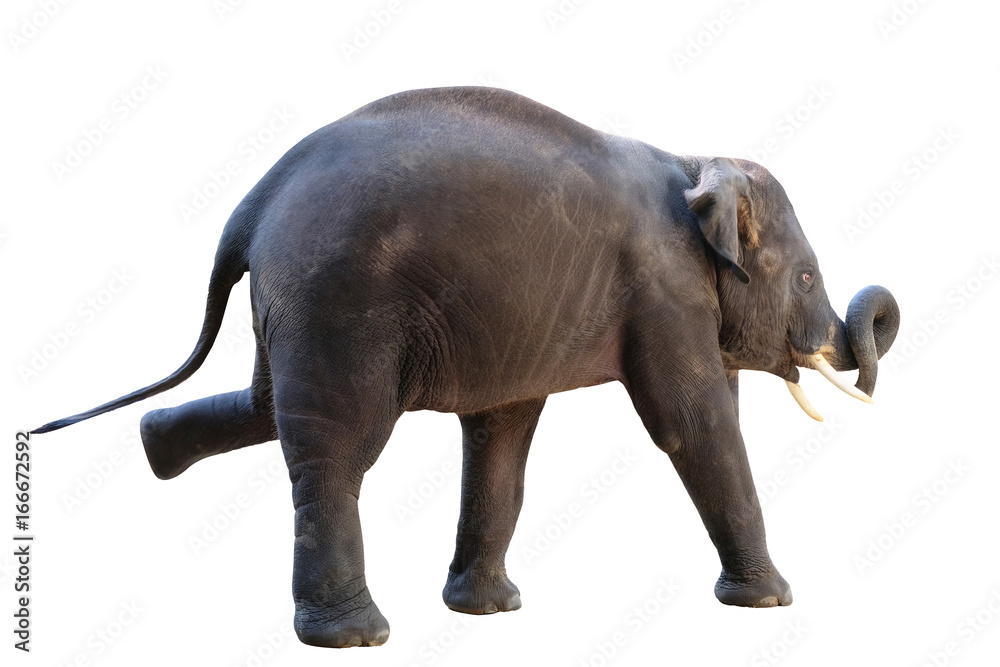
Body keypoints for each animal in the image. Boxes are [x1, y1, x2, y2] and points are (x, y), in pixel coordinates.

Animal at [33, 86, 900, 649]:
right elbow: (691, 424)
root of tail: (250, 208)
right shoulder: (662, 291)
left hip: (296, 307)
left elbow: (504, 431)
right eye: (808, 277)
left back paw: (154, 447)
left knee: (267, 403)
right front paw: (772, 601)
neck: (692, 160)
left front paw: (488, 612)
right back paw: (354, 637)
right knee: (340, 445)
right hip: (339, 301)